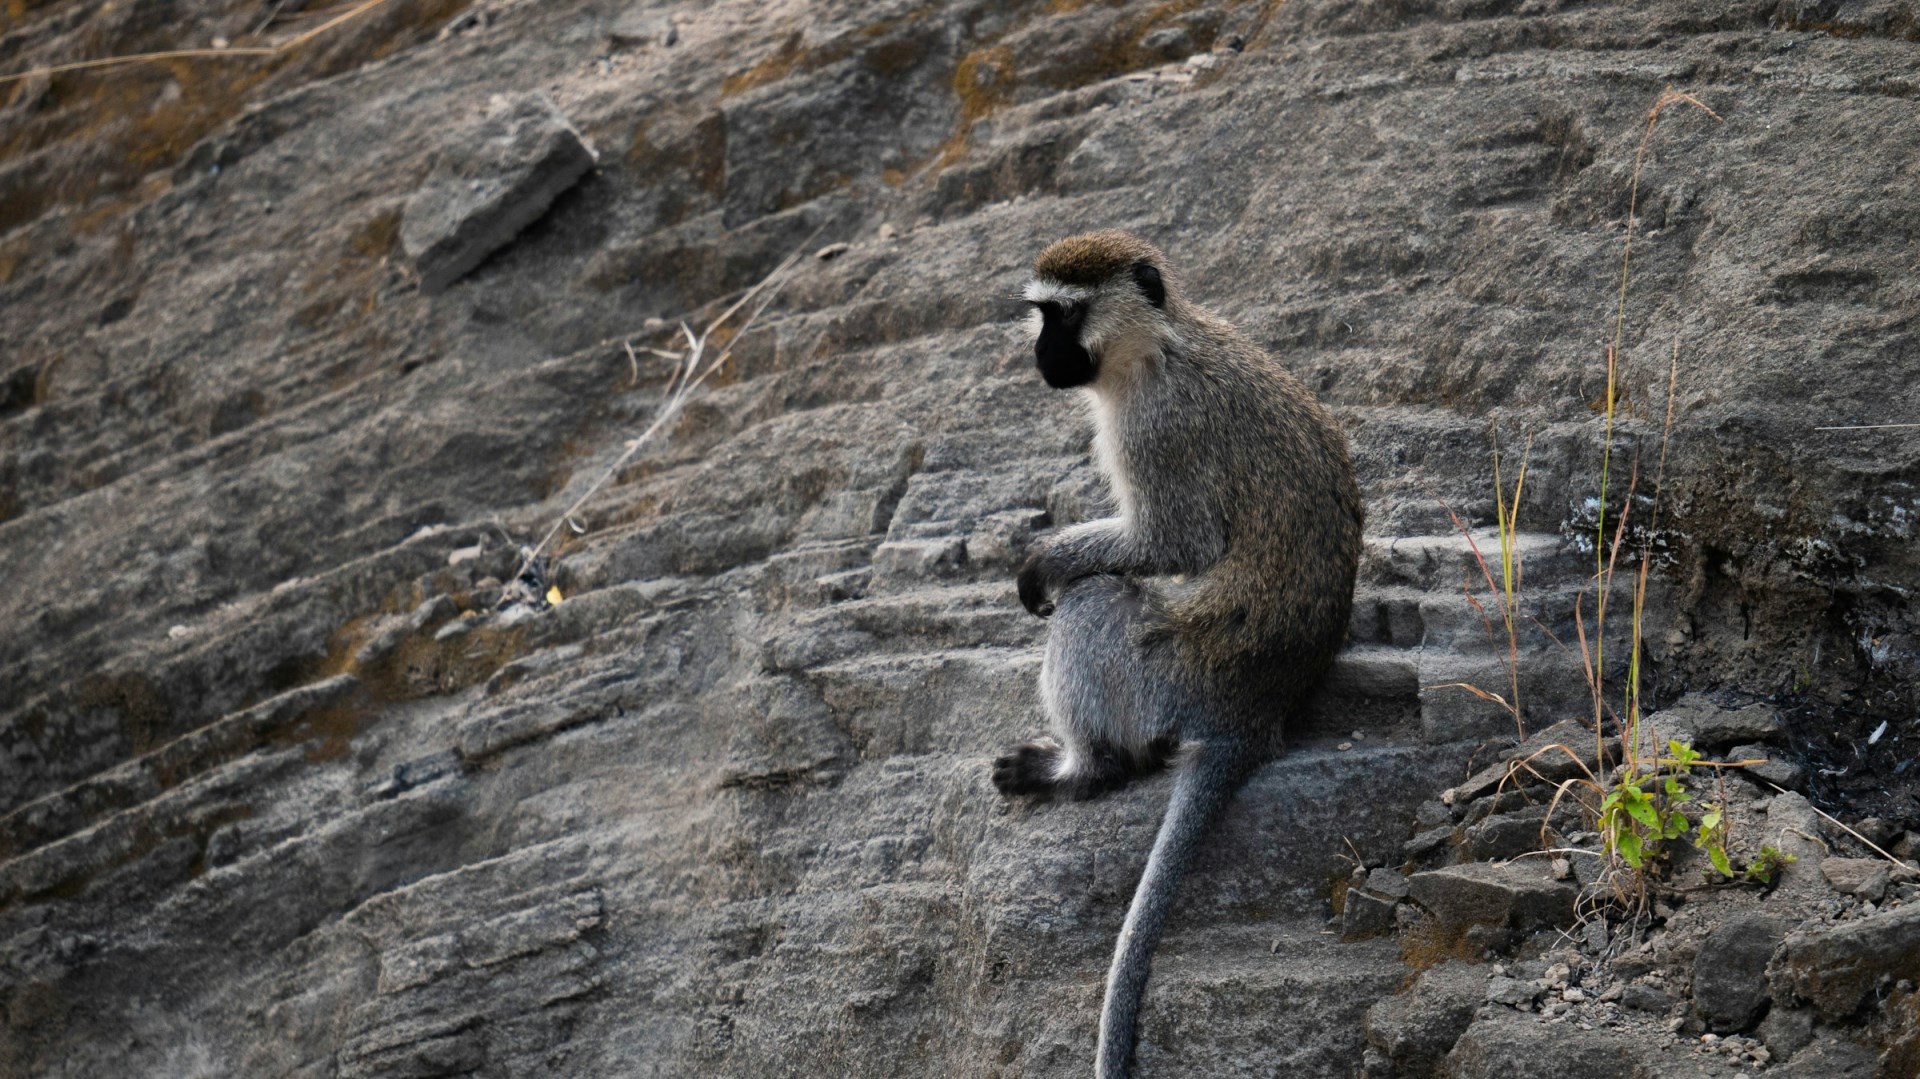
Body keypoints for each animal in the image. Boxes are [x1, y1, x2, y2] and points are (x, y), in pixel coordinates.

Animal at [991, 229, 1363, 1078]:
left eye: (1065, 315)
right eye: (1041, 313)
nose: (1041, 354)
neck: (1158, 343)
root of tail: (1250, 713)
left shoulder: (1155, 427)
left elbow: (1177, 542)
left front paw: (1044, 560)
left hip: (1163, 677)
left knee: (1094, 603)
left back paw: (1082, 767)